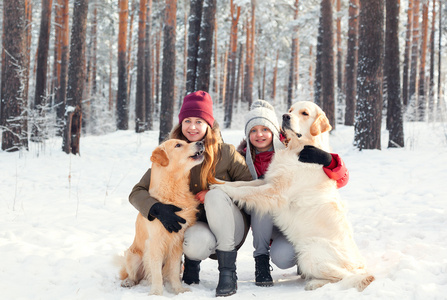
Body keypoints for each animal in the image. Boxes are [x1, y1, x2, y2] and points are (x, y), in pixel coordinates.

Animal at [214, 102, 374, 292]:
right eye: (290, 110)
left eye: (304, 113)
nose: (285, 116)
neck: (297, 149)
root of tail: (360, 265)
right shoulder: (267, 180)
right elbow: (241, 184)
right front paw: (217, 181)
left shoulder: (275, 192)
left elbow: (245, 191)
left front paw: (218, 187)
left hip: (309, 253)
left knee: (345, 277)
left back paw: (314, 283)